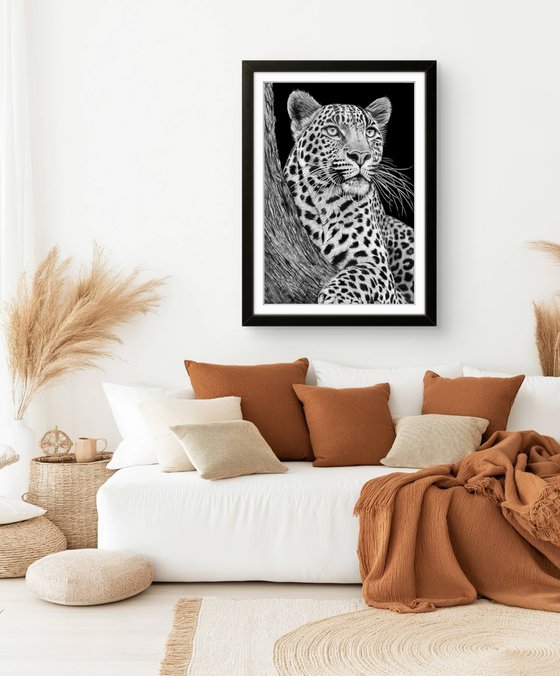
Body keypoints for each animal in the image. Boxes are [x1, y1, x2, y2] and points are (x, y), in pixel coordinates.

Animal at [283, 90, 414, 304]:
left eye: (370, 132)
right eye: (333, 131)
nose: (361, 156)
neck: (326, 198)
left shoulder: (379, 267)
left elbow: (359, 275)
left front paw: (337, 298)